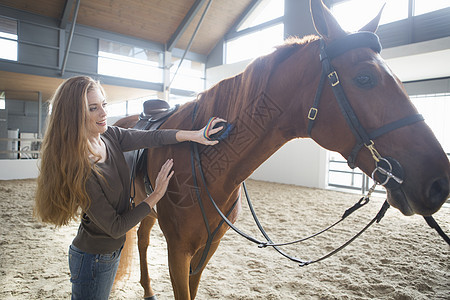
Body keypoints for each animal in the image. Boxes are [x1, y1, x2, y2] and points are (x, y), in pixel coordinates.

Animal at [117, 1, 450, 298]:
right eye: (364, 78)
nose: (440, 182)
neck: (205, 165)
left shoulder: (206, 249)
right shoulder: (178, 249)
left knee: (142, 238)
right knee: (142, 240)